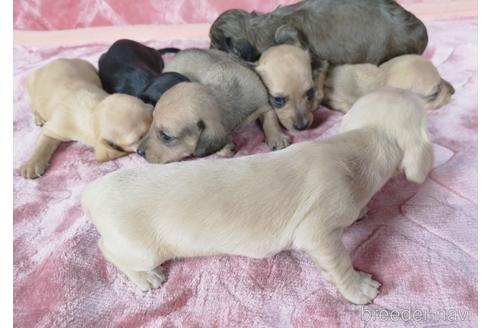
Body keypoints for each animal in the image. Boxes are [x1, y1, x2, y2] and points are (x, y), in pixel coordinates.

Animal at [19, 57, 153, 178]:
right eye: (139, 138)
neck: (93, 110)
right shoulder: (53, 128)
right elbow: (43, 144)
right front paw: (32, 164)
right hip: (30, 83)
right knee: (33, 105)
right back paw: (38, 118)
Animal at [82, 87, 432, 304]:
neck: (362, 141)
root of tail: (92, 191)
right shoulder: (318, 231)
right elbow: (338, 261)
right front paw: (359, 287)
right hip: (140, 248)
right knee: (107, 250)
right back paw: (146, 278)